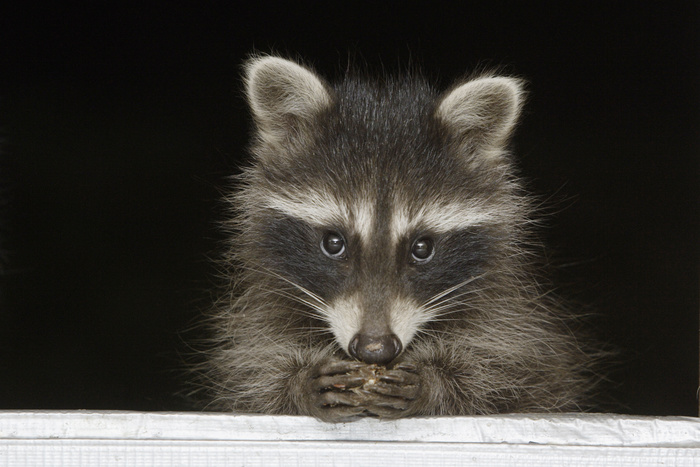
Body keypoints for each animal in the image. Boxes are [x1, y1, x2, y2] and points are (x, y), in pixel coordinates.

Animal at [200, 55, 600, 424]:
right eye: (333, 243)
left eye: (421, 248)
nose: (374, 349)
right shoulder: (263, 307)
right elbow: (255, 370)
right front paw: (297, 382)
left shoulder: (513, 319)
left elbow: (507, 373)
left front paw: (437, 381)